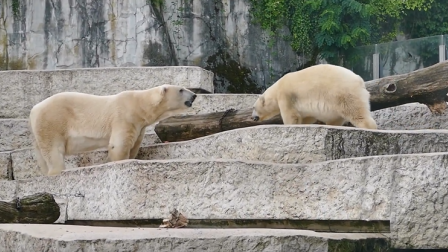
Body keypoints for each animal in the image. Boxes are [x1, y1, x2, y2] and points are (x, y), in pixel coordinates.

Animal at [28, 83, 196, 176]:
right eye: (181, 89)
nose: (194, 95)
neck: (139, 103)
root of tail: (34, 110)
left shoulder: (139, 126)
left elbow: (134, 144)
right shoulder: (124, 117)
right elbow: (119, 145)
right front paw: (118, 162)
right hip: (52, 121)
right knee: (53, 150)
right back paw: (56, 171)